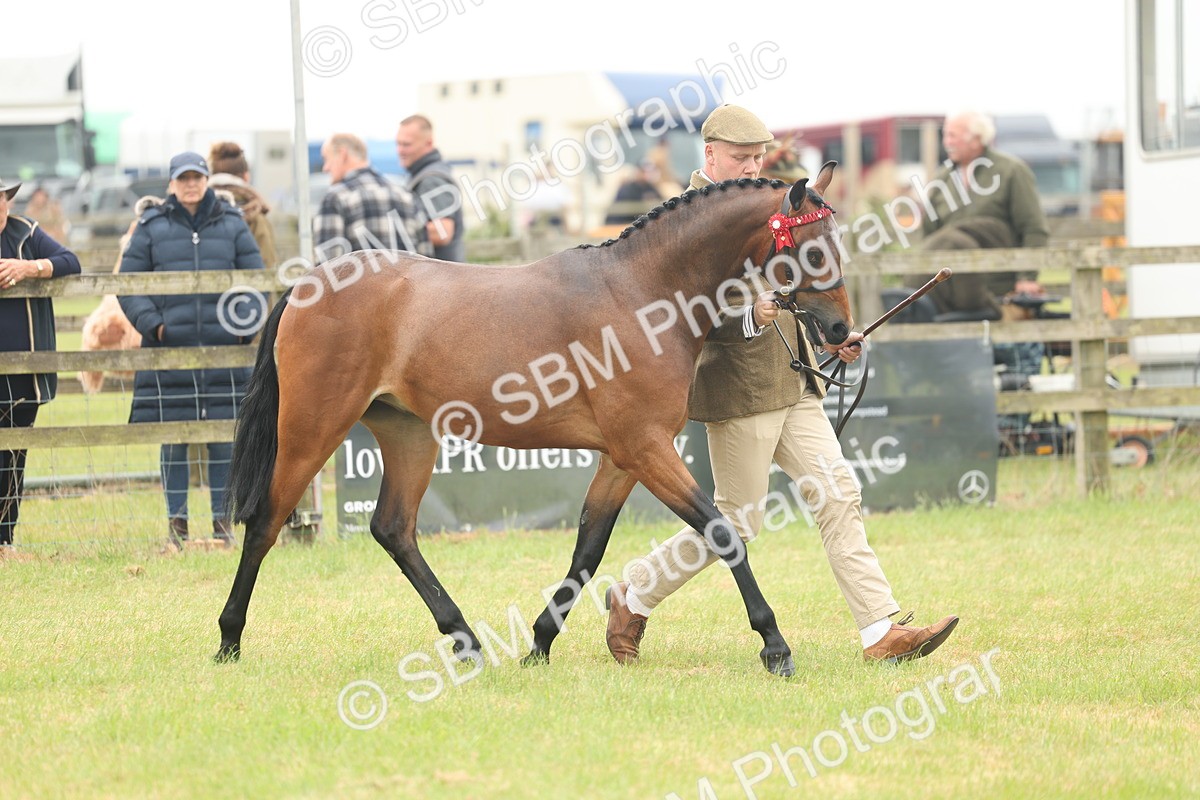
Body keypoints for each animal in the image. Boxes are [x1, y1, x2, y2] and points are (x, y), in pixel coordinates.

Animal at [217, 162, 852, 676]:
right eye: (812, 249)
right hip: (312, 428)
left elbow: (588, 549)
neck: (641, 293)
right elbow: (722, 533)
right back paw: (229, 640)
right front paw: (775, 646)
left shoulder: (625, 457)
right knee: (266, 522)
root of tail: (307, 284)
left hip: (407, 434)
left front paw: (539, 645)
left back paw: (466, 640)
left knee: (393, 528)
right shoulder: (646, 448)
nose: (842, 330)